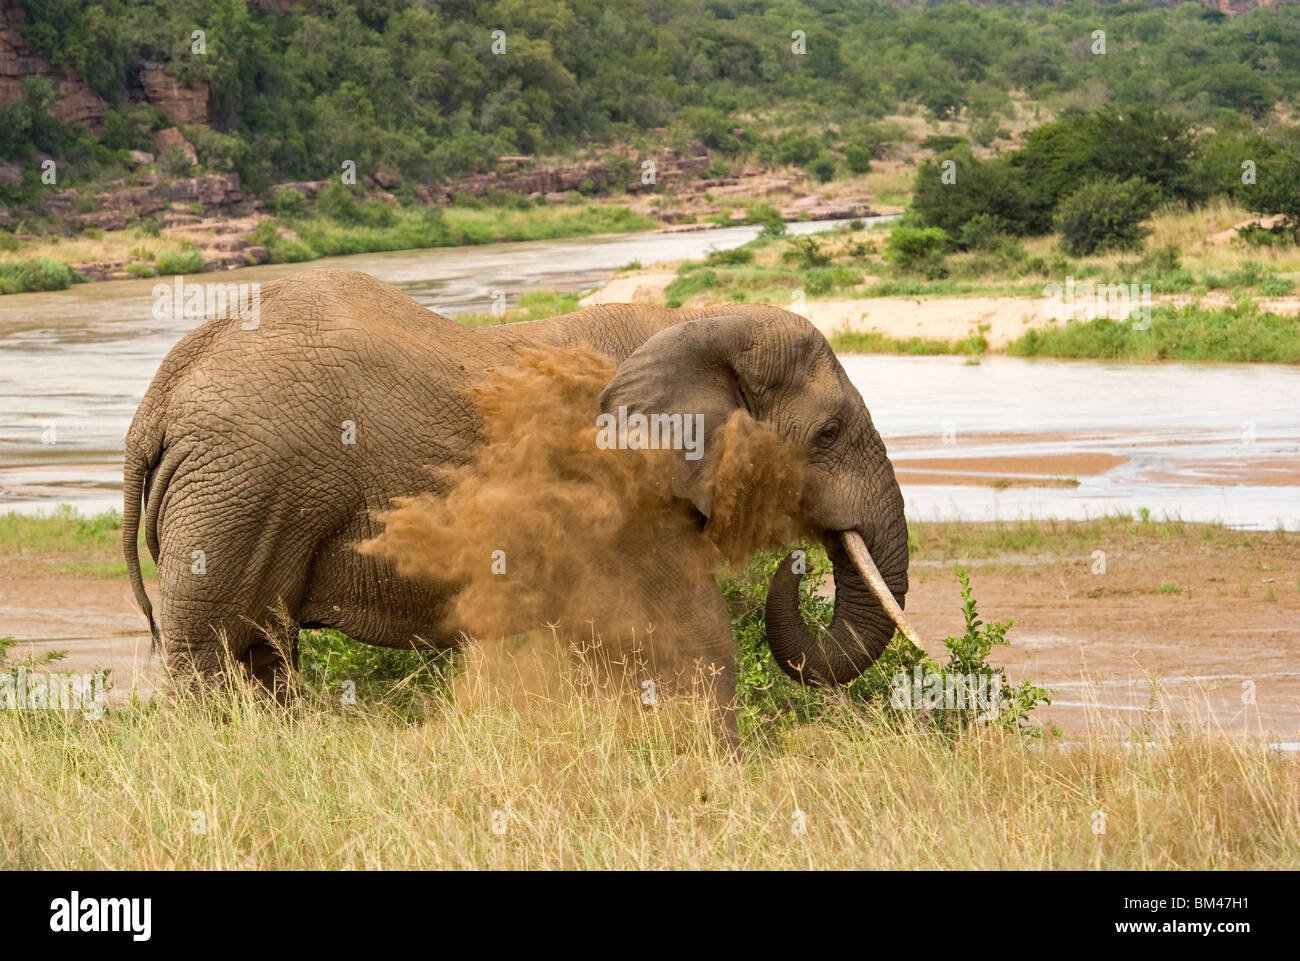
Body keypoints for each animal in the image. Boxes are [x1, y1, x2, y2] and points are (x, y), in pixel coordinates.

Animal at [124, 269, 915, 723]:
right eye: (828, 433)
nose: (798, 564)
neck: (695, 323)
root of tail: (160, 395)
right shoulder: (621, 486)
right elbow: (691, 628)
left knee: (261, 654)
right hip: (239, 492)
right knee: (210, 654)